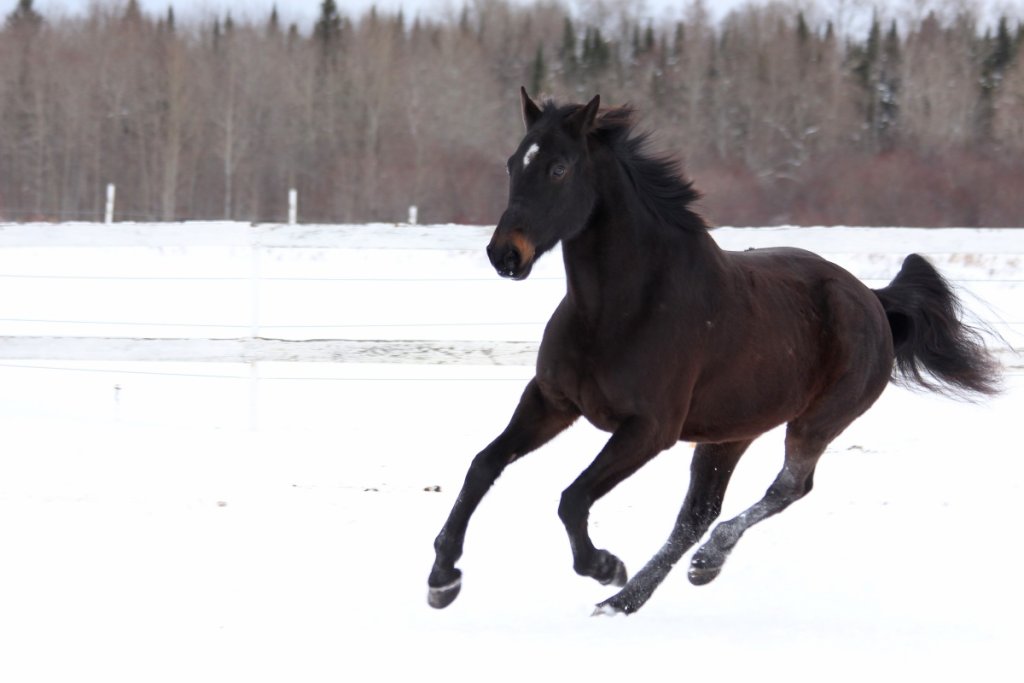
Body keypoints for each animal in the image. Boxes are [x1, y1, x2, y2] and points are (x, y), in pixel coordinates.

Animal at [427, 89, 1001, 616]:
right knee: (698, 513)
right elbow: (483, 465)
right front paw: (443, 578)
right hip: (729, 433)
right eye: (512, 162)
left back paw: (687, 568)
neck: (618, 311)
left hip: (816, 422)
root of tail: (875, 301)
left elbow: (573, 498)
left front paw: (604, 566)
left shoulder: (648, 430)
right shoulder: (551, 401)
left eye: (559, 168)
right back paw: (635, 598)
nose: (505, 255)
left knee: (787, 488)